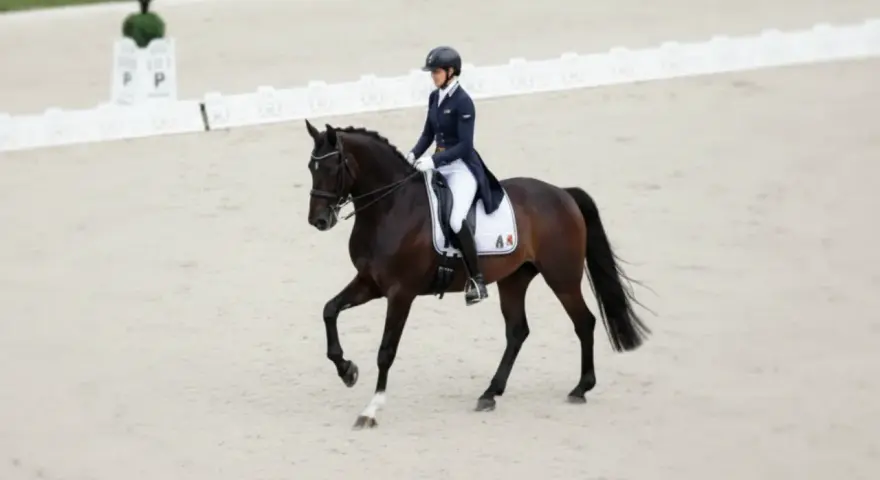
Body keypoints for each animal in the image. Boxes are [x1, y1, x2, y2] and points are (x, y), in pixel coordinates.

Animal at [303, 119, 650, 428]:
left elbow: (386, 351)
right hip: (514, 279)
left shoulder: (400, 293)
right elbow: (329, 310)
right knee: (517, 332)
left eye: (333, 167)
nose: (318, 221)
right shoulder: (370, 283)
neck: (391, 207)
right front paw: (347, 370)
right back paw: (490, 393)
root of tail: (562, 194)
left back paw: (580, 388)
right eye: (311, 167)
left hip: (562, 279)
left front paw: (371, 409)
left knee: (584, 322)